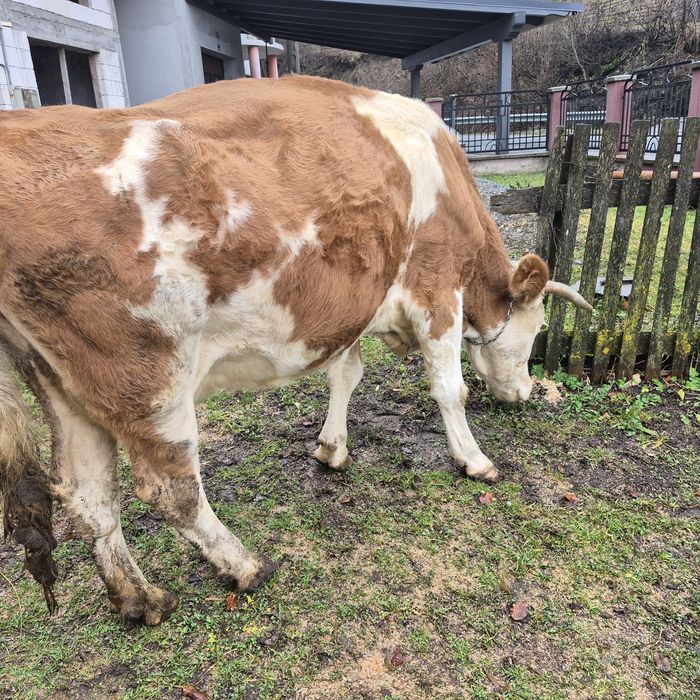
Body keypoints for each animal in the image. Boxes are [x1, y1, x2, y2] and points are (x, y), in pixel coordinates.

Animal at [0, 76, 591, 624]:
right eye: (536, 328)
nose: (524, 392)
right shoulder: (436, 287)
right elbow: (450, 389)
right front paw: (475, 460)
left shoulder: (353, 308)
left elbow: (345, 375)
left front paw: (331, 449)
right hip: (147, 374)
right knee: (170, 488)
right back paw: (245, 566)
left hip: (62, 385)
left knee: (88, 497)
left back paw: (140, 599)